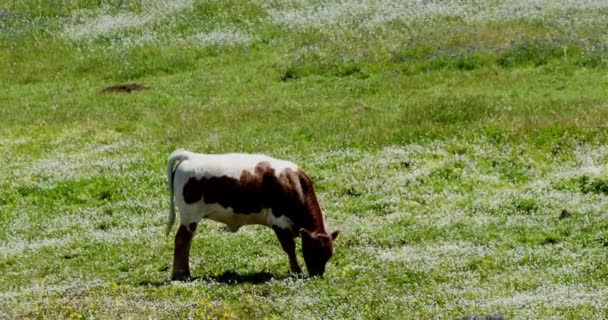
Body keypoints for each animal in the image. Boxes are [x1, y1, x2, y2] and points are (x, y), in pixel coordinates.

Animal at [164, 149, 340, 282]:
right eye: (313, 251)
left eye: (329, 254)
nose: (317, 276)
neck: (294, 184)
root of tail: (190, 155)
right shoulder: (279, 221)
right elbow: (290, 248)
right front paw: (296, 271)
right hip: (190, 215)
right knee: (181, 240)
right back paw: (180, 275)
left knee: (187, 242)